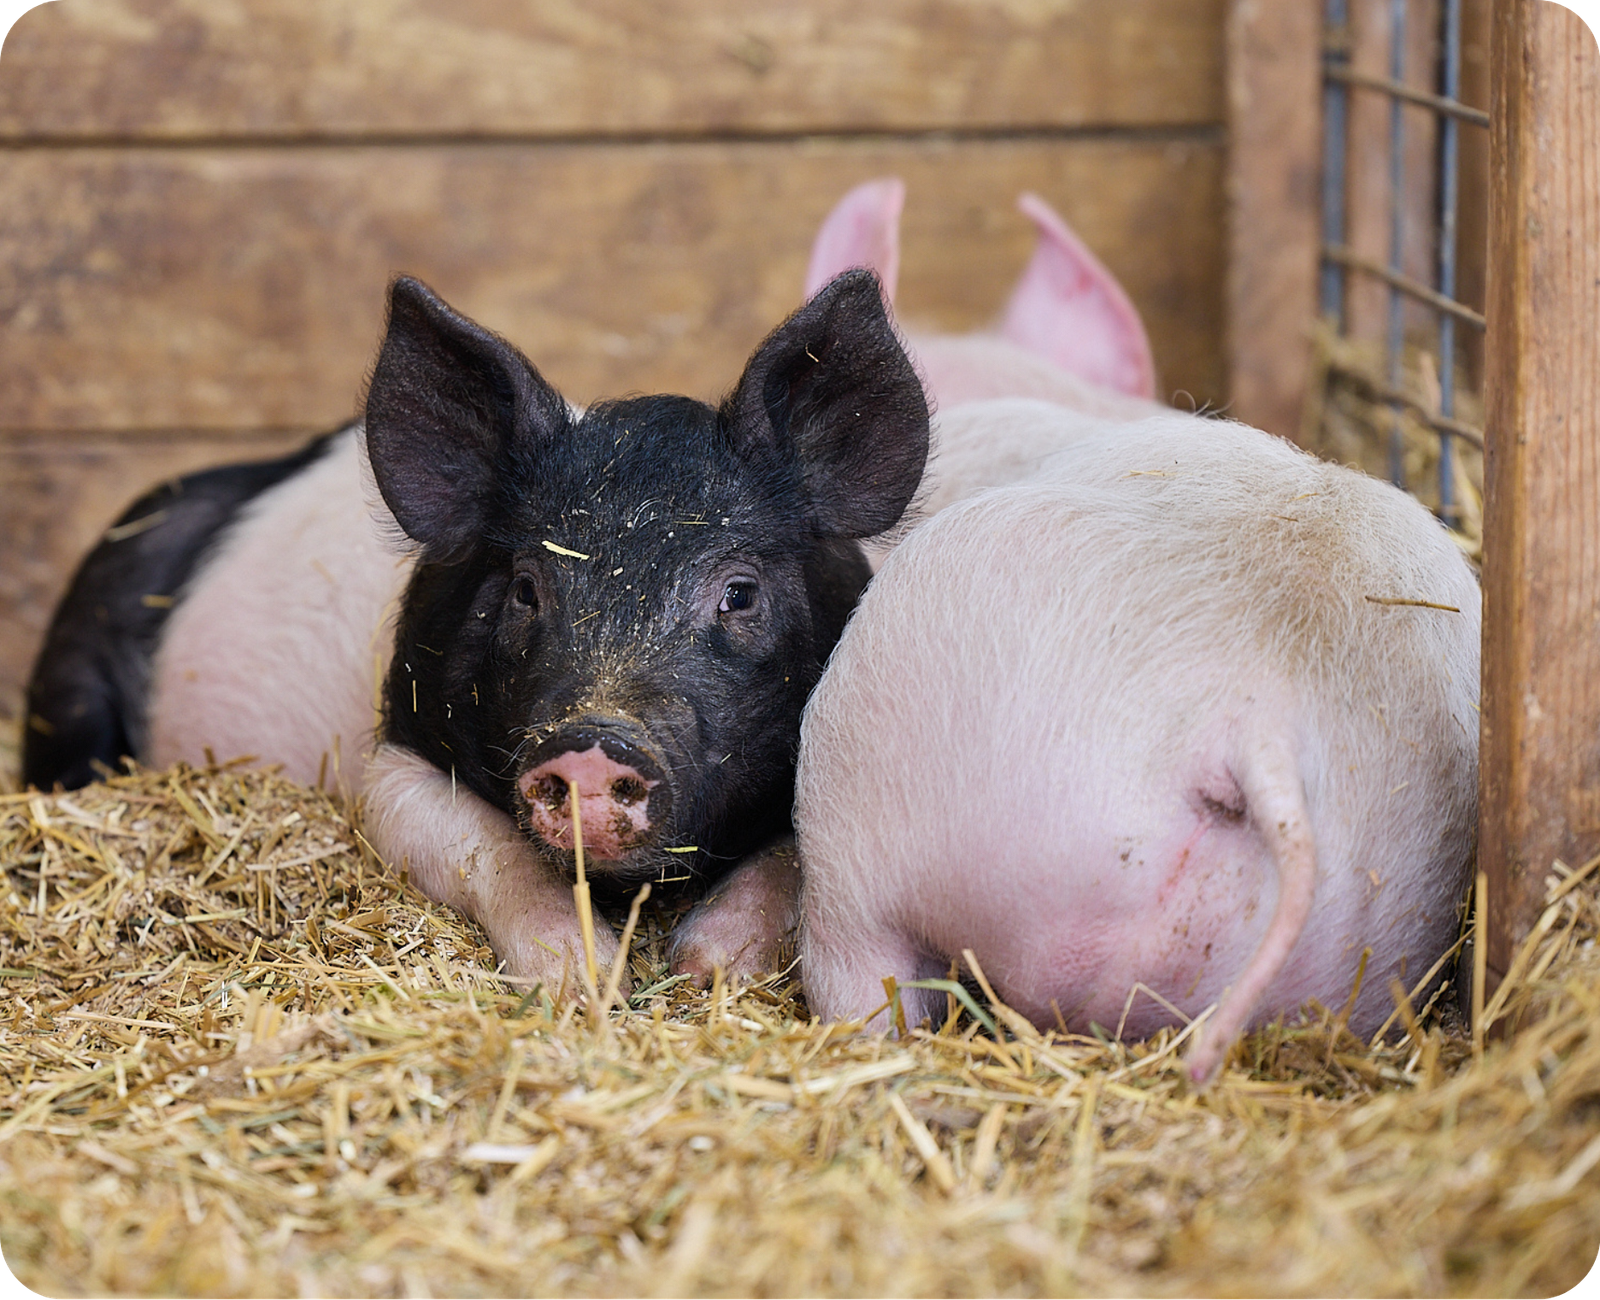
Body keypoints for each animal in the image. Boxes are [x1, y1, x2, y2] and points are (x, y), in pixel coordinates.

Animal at [23, 270, 930, 994]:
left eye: (739, 594)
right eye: (526, 588)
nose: (595, 743)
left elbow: (791, 853)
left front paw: (709, 970)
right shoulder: (394, 757)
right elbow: (481, 846)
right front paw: (584, 976)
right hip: (69, 683)